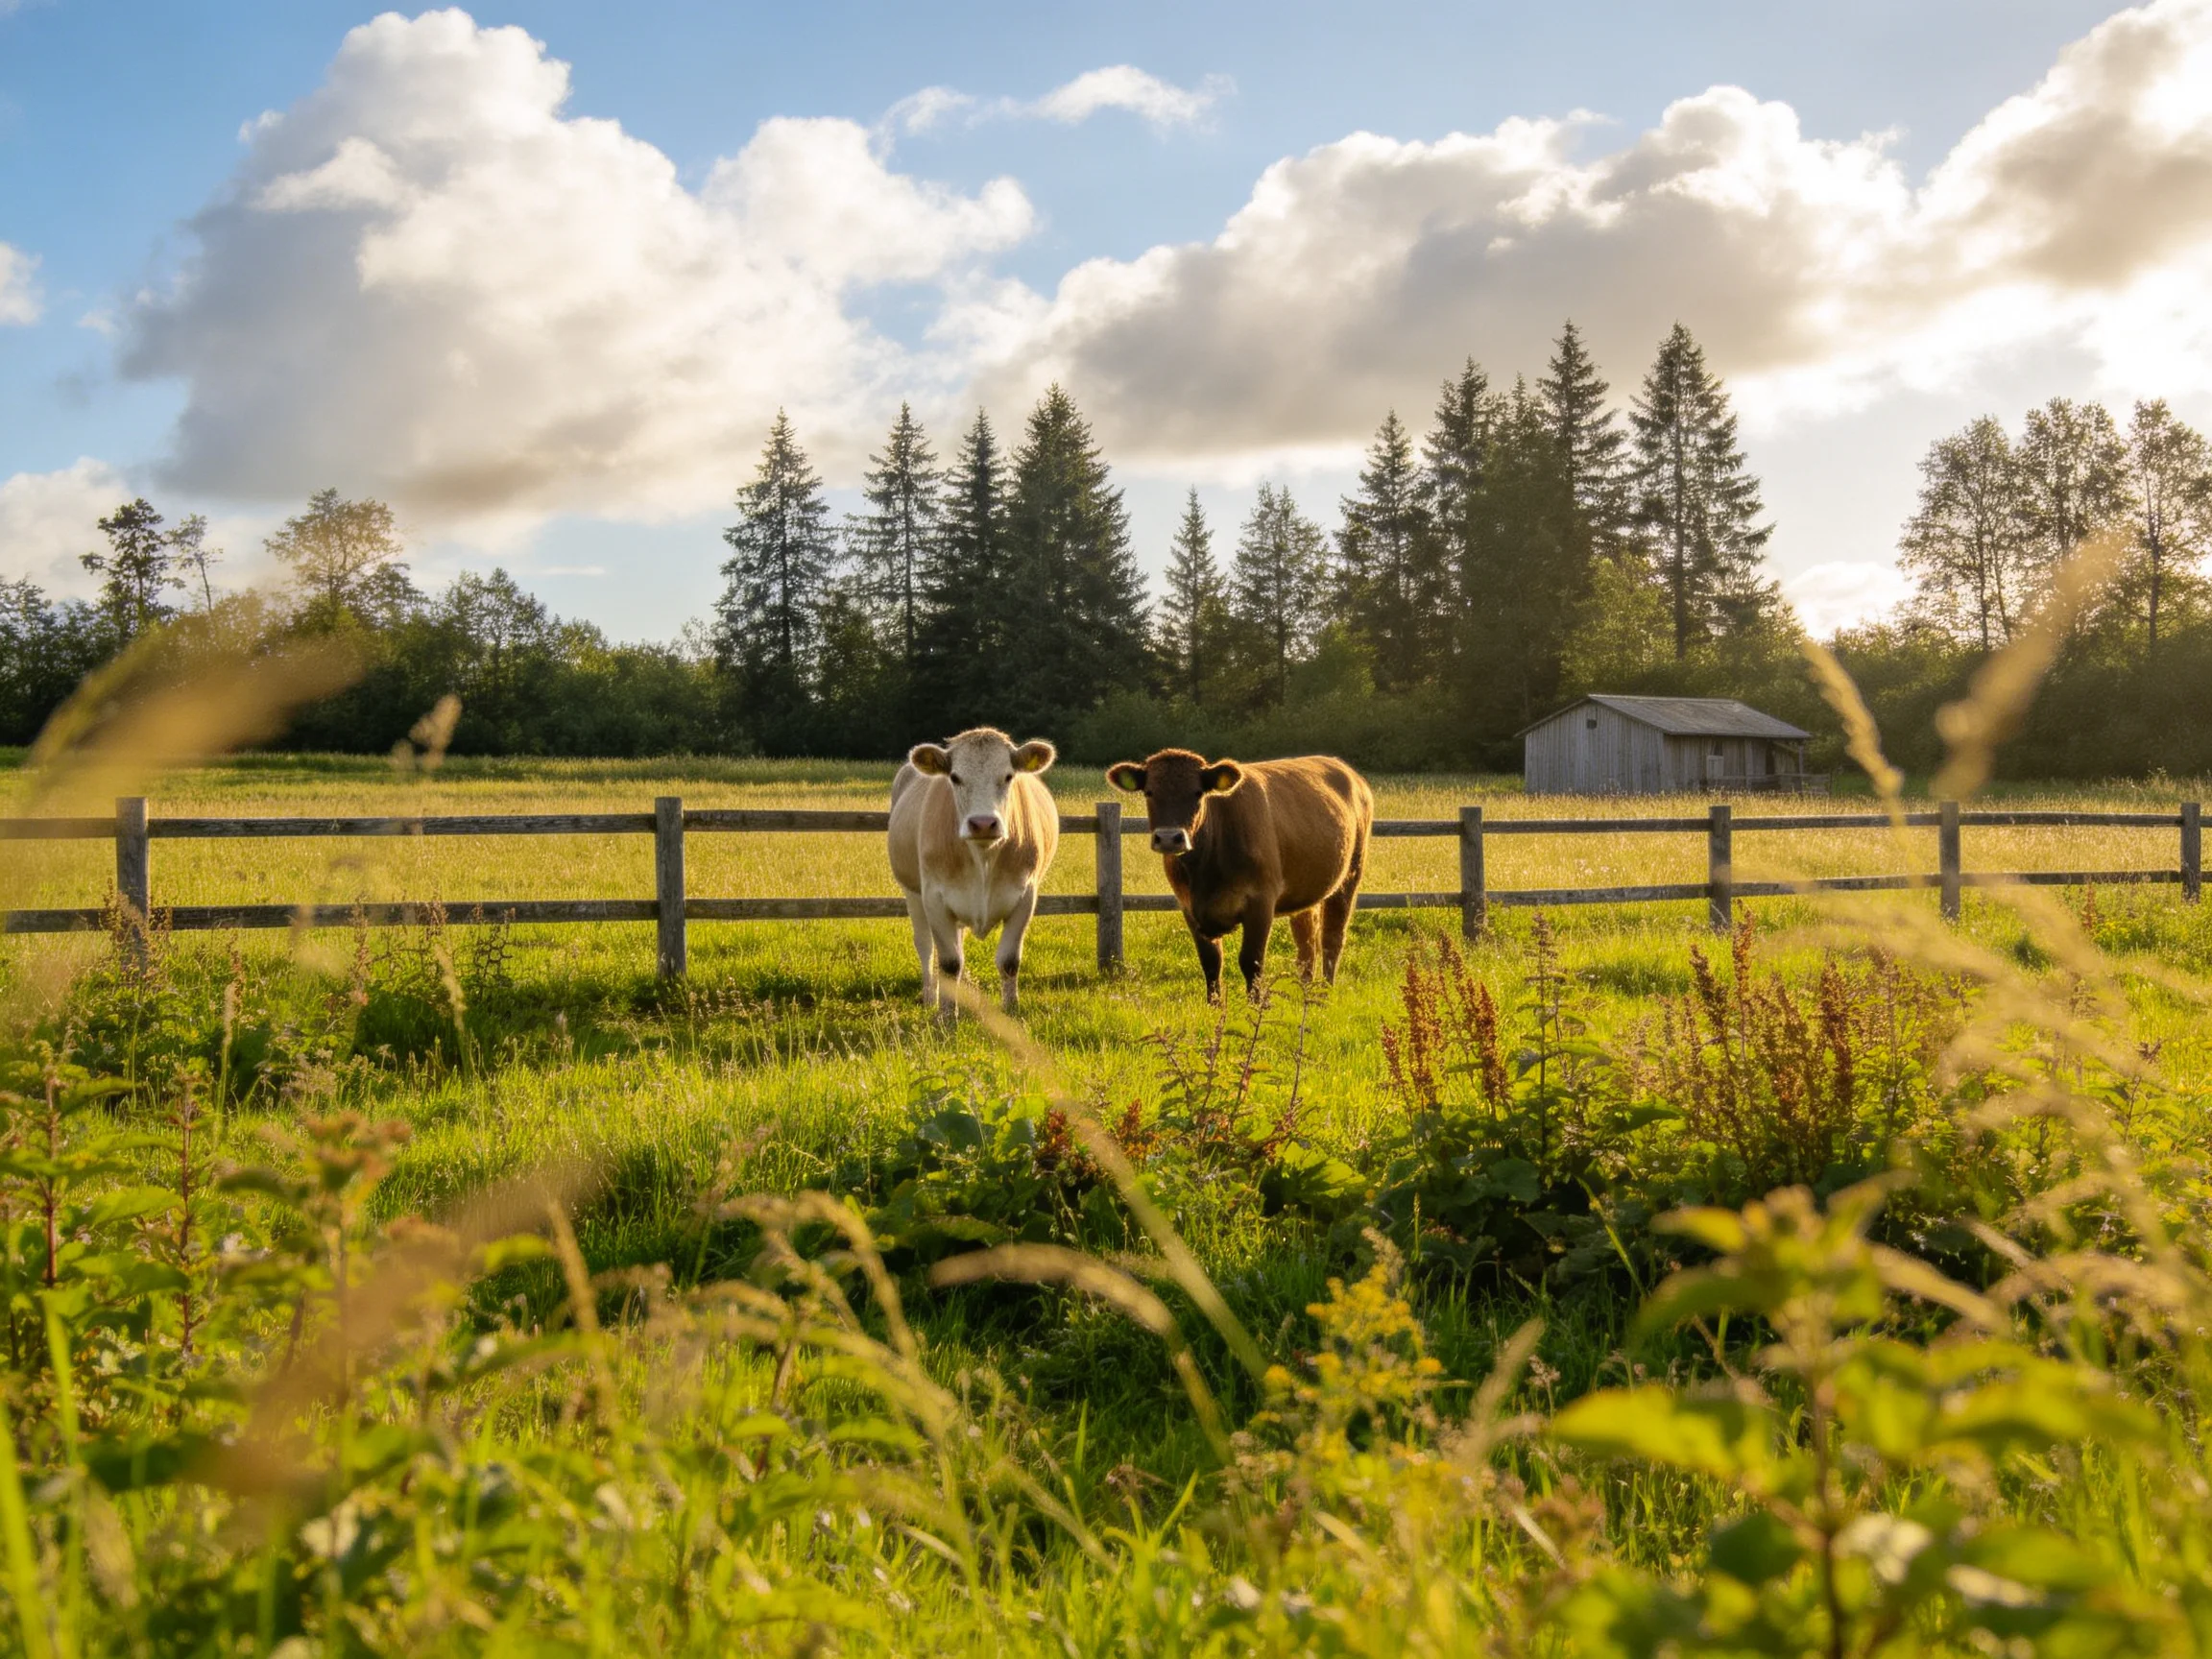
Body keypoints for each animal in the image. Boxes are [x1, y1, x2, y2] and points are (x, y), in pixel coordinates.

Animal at [888, 727, 1060, 1018]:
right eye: (955, 778)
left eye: (1008, 776)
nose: (983, 823)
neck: (983, 858)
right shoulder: (934, 898)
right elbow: (949, 963)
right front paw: (947, 1017)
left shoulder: (1026, 896)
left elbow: (1009, 961)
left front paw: (1011, 1010)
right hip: (912, 891)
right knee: (926, 946)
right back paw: (930, 997)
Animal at [1106, 749, 1373, 1002]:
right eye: (1149, 792)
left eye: (1197, 793)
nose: (1170, 838)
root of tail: (1345, 769)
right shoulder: (1188, 906)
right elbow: (1211, 962)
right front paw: (1214, 1007)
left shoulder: (1261, 902)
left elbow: (1251, 962)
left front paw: (1254, 1007)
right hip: (1305, 889)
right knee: (1306, 943)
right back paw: (1306, 993)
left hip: (1350, 875)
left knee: (1331, 939)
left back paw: (1325, 994)